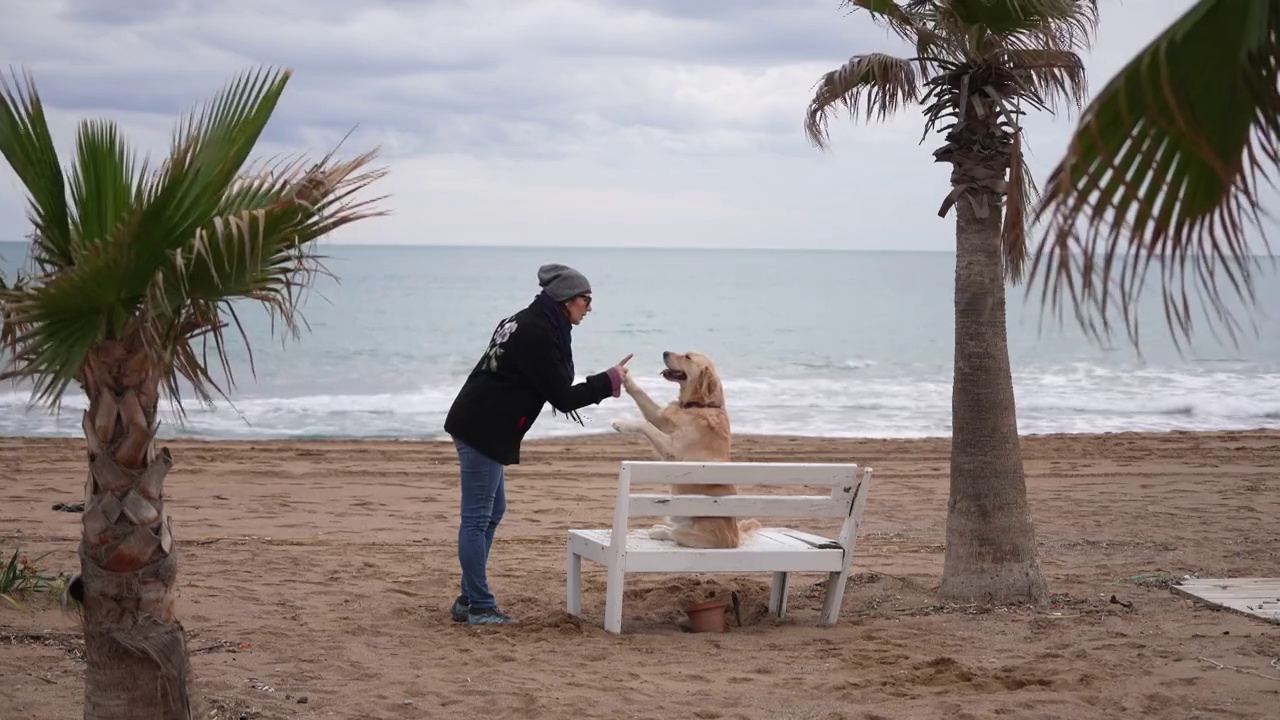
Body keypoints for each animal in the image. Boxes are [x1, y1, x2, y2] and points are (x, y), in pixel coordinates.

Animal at [609, 351, 757, 545]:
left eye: (687, 357)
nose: (664, 352)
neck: (699, 405)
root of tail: (735, 538)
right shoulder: (661, 419)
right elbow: (641, 396)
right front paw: (622, 375)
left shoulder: (673, 451)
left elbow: (646, 425)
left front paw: (622, 424)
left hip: (701, 533)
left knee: (677, 534)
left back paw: (660, 532)